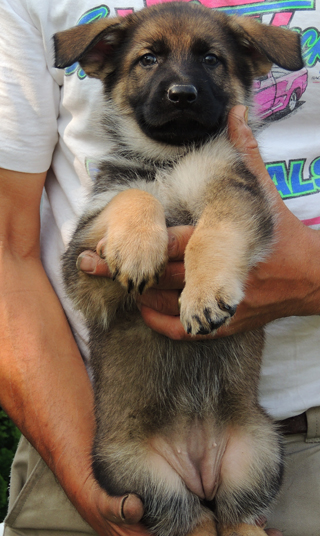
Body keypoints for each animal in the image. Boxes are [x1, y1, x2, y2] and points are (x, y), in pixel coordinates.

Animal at [53, 3, 304, 532]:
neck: (172, 158)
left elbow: (213, 233)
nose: (182, 95)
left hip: (260, 451)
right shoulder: (82, 265)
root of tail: (200, 465)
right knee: (193, 520)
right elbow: (134, 193)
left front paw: (204, 295)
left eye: (211, 59)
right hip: (140, 475)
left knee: (236, 515)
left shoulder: (236, 191)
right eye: (147, 59)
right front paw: (136, 246)